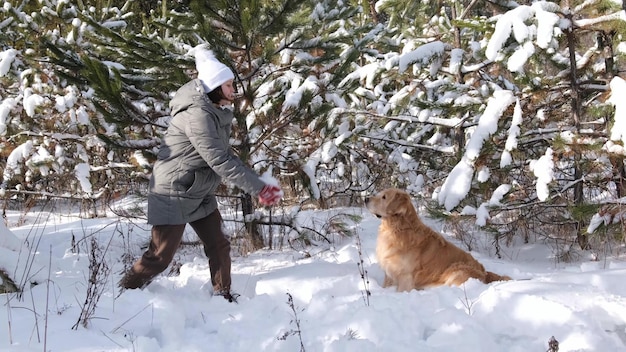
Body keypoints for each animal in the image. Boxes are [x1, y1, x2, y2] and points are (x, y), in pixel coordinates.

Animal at [364, 188, 510, 292]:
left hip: (456, 270)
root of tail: (485, 273)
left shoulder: (405, 277)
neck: (398, 228)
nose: (365, 198)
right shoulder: (389, 273)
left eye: (384, 197)